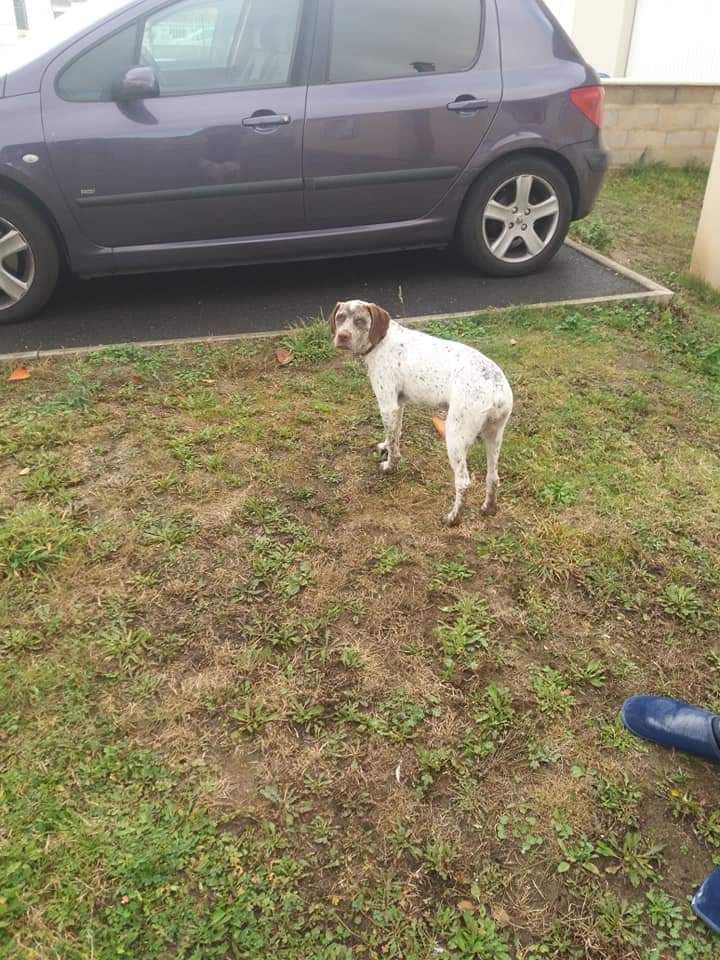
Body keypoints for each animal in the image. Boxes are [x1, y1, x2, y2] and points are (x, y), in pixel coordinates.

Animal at [330, 300, 513, 527]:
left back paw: (453, 518)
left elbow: (394, 445)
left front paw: (390, 467)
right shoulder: (397, 405)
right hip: (494, 435)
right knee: (493, 476)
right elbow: (394, 435)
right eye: (340, 317)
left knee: (463, 482)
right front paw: (386, 447)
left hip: (455, 437)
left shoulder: (387, 404)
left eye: (359, 321)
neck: (382, 341)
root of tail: (496, 387)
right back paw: (489, 508)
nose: (342, 336)